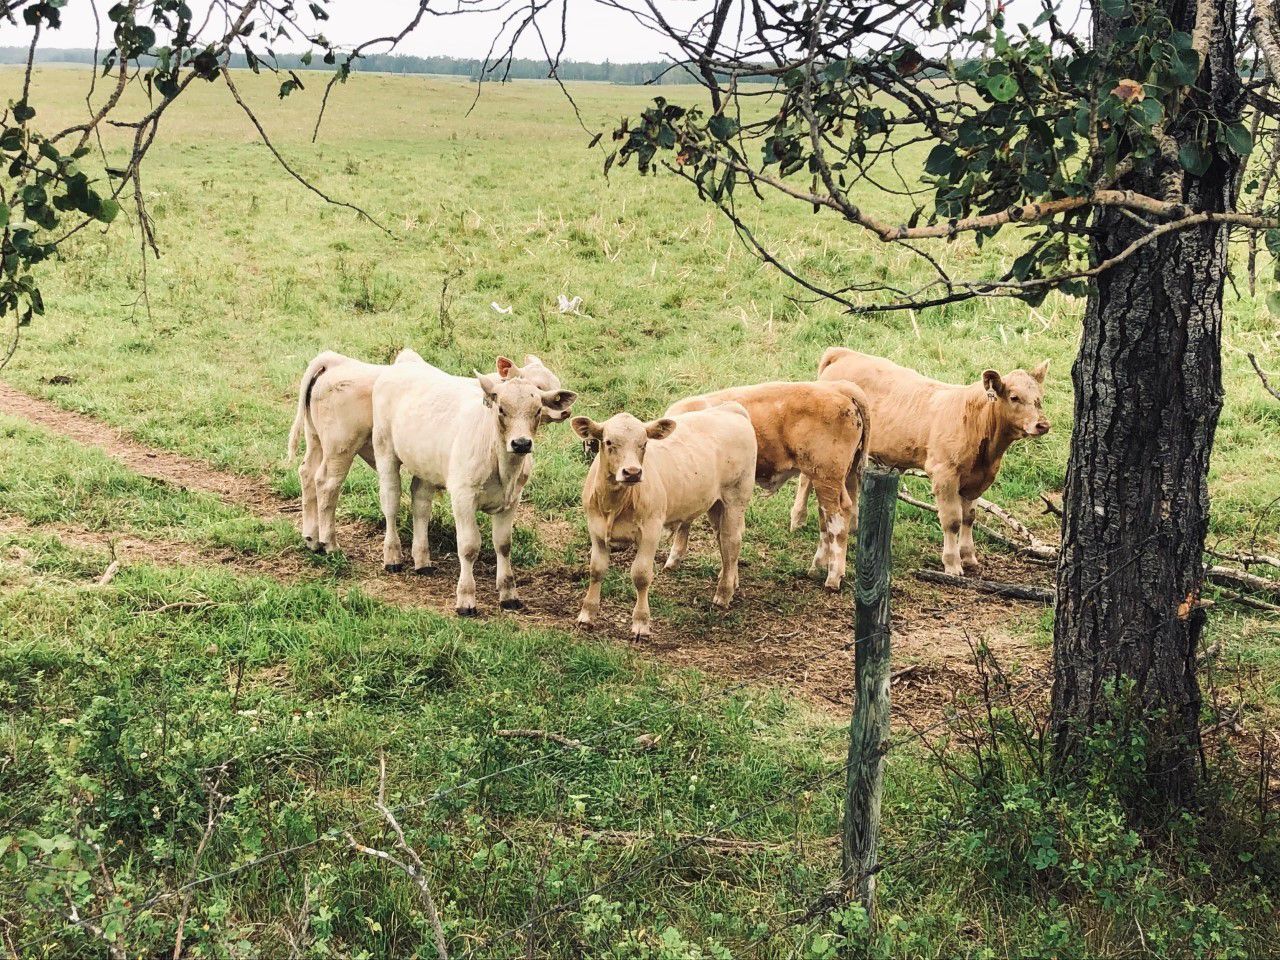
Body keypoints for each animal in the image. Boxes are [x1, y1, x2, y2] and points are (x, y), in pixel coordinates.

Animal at [287, 351, 565, 555]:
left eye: (555, 388)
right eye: (538, 386)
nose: (564, 411)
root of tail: (336, 361)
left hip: (316, 442)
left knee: (307, 474)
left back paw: (311, 538)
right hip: (340, 448)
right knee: (327, 483)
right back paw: (330, 543)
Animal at [371, 359, 577, 615]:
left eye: (538, 409)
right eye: (501, 409)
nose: (521, 443)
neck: (502, 466)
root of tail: (405, 362)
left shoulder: (512, 500)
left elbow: (503, 545)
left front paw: (508, 594)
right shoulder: (463, 496)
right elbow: (469, 547)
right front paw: (466, 599)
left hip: (426, 466)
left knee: (420, 504)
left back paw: (422, 561)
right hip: (384, 451)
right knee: (391, 502)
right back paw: (392, 557)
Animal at [572, 404, 757, 640]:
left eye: (644, 444)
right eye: (609, 442)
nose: (632, 472)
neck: (616, 504)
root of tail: (731, 408)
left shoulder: (651, 531)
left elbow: (641, 575)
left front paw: (641, 623)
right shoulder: (595, 529)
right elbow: (596, 570)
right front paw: (586, 615)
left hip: (736, 498)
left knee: (731, 542)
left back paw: (723, 594)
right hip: (716, 504)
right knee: (723, 542)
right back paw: (731, 580)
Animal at [665, 381, 870, 590]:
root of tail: (838, 388)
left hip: (827, 476)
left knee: (837, 517)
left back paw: (833, 577)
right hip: (832, 477)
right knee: (826, 517)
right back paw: (817, 567)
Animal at [792, 348, 1050, 577]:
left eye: (1040, 398)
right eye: (1014, 397)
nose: (1042, 425)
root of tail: (843, 353)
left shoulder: (977, 479)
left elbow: (969, 517)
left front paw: (969, 557)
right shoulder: (944, 474)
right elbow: (952, 520)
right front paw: (952, 563)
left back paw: (853, 524)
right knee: (806, 478)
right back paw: (798, 519)